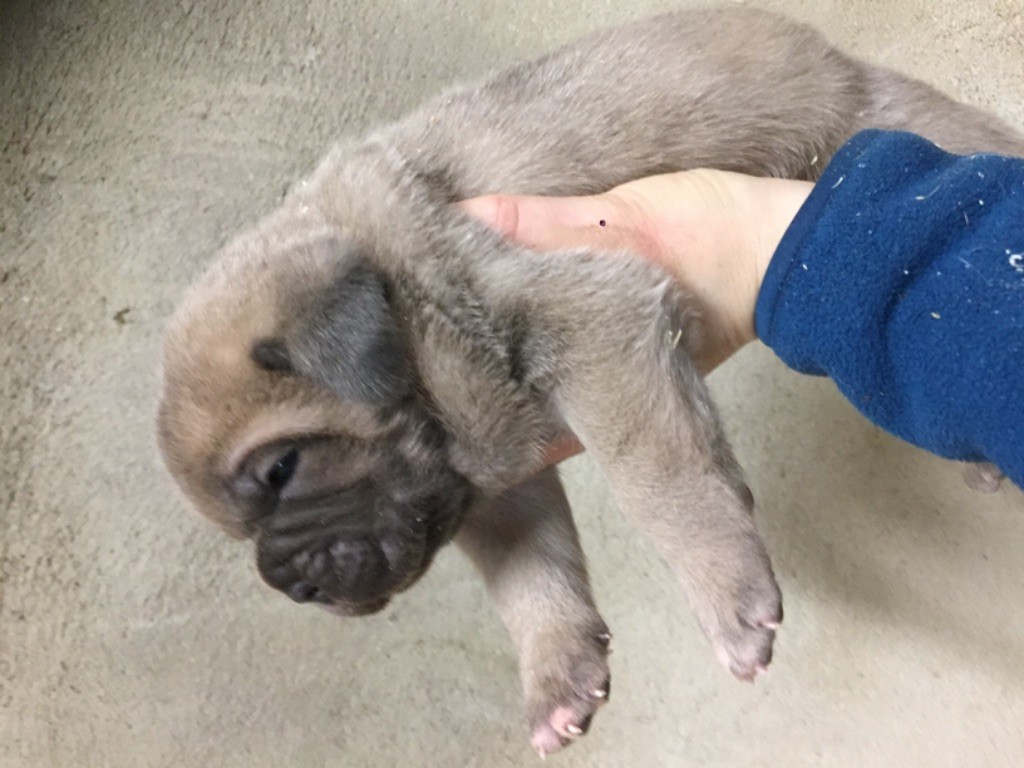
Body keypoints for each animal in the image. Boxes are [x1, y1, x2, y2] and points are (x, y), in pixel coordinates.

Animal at [157, 3, 1024, 753]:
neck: (397, 295)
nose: (286, 582)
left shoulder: (593, 322)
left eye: (282, 468)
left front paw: (724, 591)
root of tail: (836, 58)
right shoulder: (501, 488)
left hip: (896, 128)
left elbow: (658, 480)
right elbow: (533, 582)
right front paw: (557, 673)